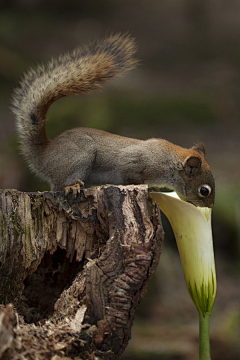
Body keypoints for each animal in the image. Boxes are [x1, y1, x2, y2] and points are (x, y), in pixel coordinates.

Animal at [11, 34, 214, 208]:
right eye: (204, 190)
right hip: (77, 158)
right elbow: (130, 175)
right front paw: (150, 192)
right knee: (57, 186)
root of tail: (43, 155)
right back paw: (70, 187)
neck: (169, 160)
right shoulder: (133, 163)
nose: (210, 206)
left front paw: (153, 189)